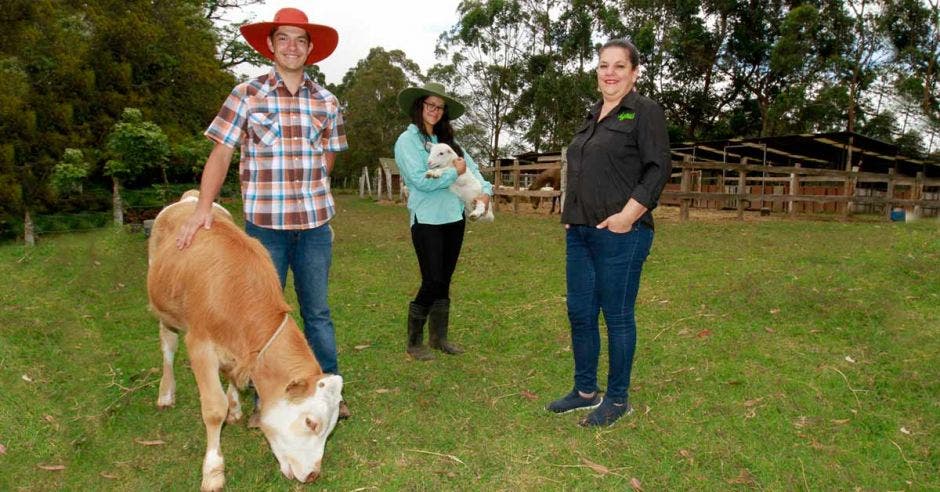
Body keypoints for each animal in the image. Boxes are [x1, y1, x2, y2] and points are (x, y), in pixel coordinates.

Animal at [151, 190, 346, 490]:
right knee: (168, 347)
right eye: (311, 423)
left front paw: (233, 407)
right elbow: (213, 409)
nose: (314, 475)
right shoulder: (200, 345)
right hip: (166, 313)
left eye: (331, 428)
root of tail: (191, 198)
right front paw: (213, 472)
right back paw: (166, 393)